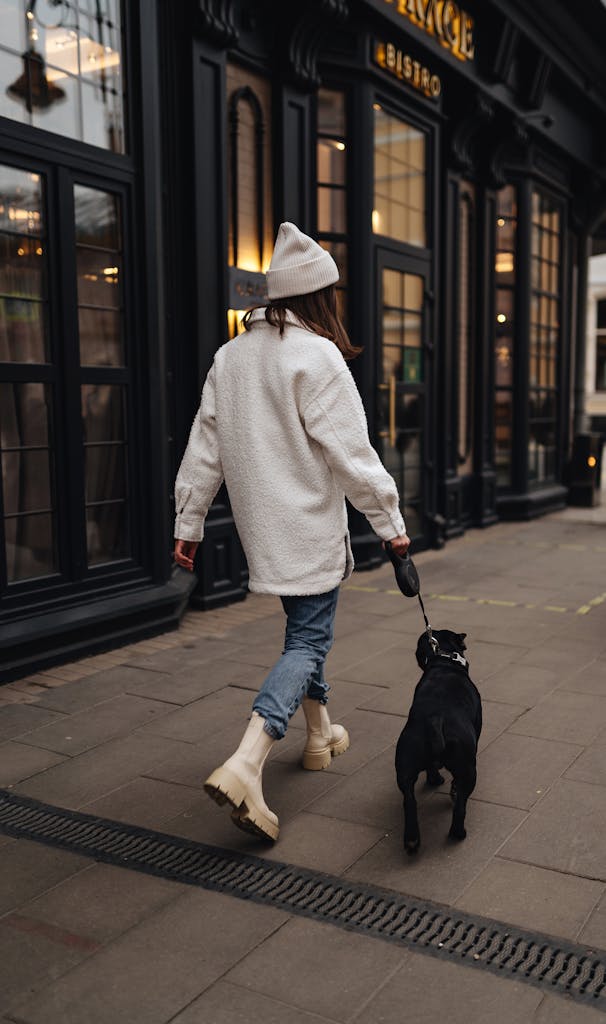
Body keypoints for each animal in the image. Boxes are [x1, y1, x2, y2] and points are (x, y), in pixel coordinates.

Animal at [393, 626, 483, 851]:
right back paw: (458, 833)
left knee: (409, 802)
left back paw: (412, 840)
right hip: (469, 771)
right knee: (460, 805)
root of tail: (436, 718)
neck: (444, 659)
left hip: (405, 764)